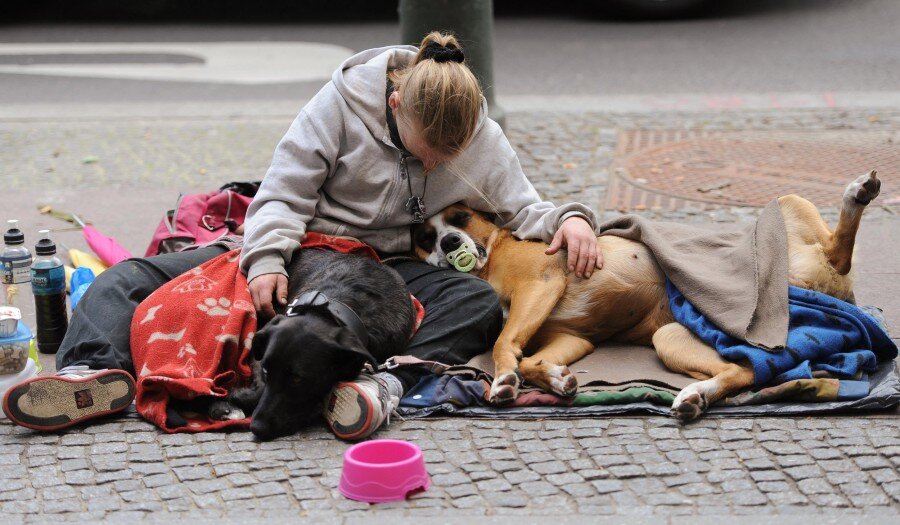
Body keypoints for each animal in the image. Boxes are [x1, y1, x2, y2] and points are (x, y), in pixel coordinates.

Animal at [207, 248, 414, 440]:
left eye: (298, 379)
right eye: (266, 371)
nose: (256, 427)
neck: (334, 309)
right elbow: (260, 388)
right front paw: (230, 400)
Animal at [412, 171, 884, 418]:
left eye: (460, 217)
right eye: (424, 238)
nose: (448, 243)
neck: (493, 254)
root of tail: (835, 290)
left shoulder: (540, 285)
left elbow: (503, 342)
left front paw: (504, 377)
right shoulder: (571, 337)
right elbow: (530, 356)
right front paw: (554, 378)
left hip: (788, 207)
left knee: (839, 251)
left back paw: (856, 196)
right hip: (671, 337)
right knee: (745, 372)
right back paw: (697, 396)